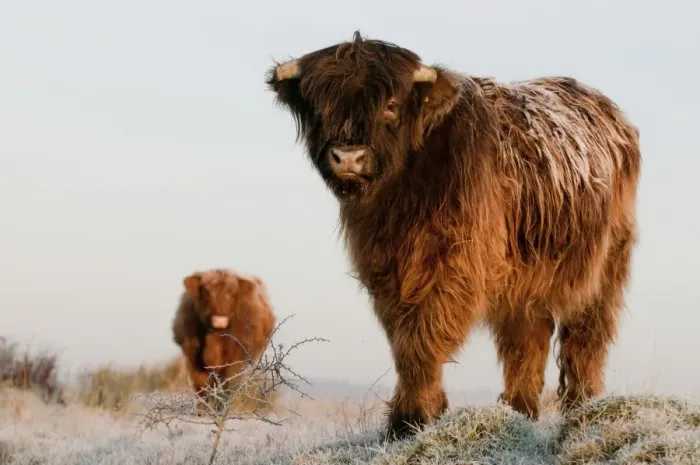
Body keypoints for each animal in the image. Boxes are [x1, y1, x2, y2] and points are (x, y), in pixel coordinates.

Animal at [171, 269, 276, 407]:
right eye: (207, 292)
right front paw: (203, 408)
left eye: (231, 293)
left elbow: (227, 385)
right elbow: (201, 387)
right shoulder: (193, 359)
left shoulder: (236, 359)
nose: (219, 320)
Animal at [266, 31, 641, 441]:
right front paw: (416, 414)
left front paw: (412, 416)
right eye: (321, 105)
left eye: (391, 105)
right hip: (526, 278)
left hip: (604, 265)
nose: (349, 157)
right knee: (527, 339)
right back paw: (519, 411)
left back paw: (582, 407)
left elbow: (424, 336)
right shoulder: (386, 270)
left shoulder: (455, 263)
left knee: (586, 337)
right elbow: (403, 339)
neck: (403, 194)